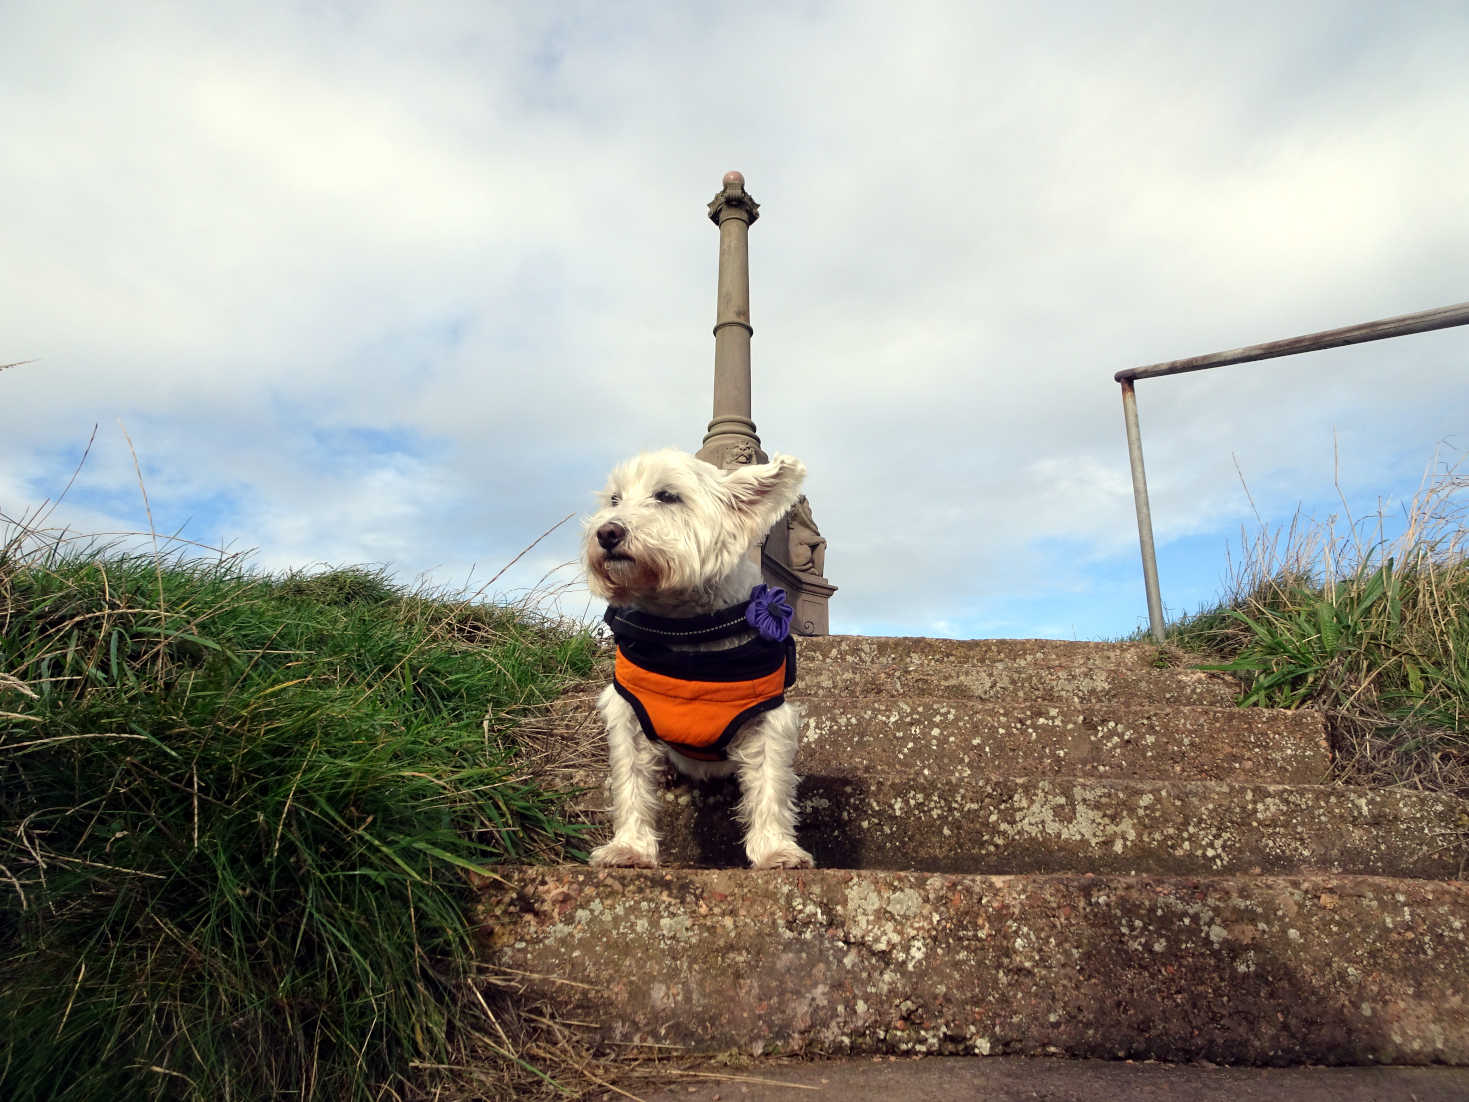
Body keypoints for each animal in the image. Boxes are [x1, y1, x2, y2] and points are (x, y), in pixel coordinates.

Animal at [581, 449, 816, 869]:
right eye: (614, 499)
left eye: (667, 496)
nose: (606, 533)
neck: (686, 629)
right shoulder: (628, 715)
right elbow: (631, 782)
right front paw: (630, 847)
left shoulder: (767, 719)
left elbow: (770, 786)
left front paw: (776, 850)